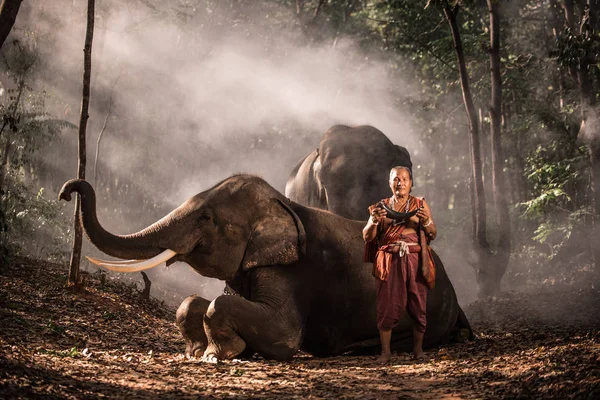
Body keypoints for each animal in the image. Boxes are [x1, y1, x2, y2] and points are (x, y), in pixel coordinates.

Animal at [58, 173, 468, 360]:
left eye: (206, 218)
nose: (66, 190)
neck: (282, 205)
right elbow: (194, 303)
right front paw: (196, 351)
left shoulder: (293, 270)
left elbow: (284, 333)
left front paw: (218, 355)